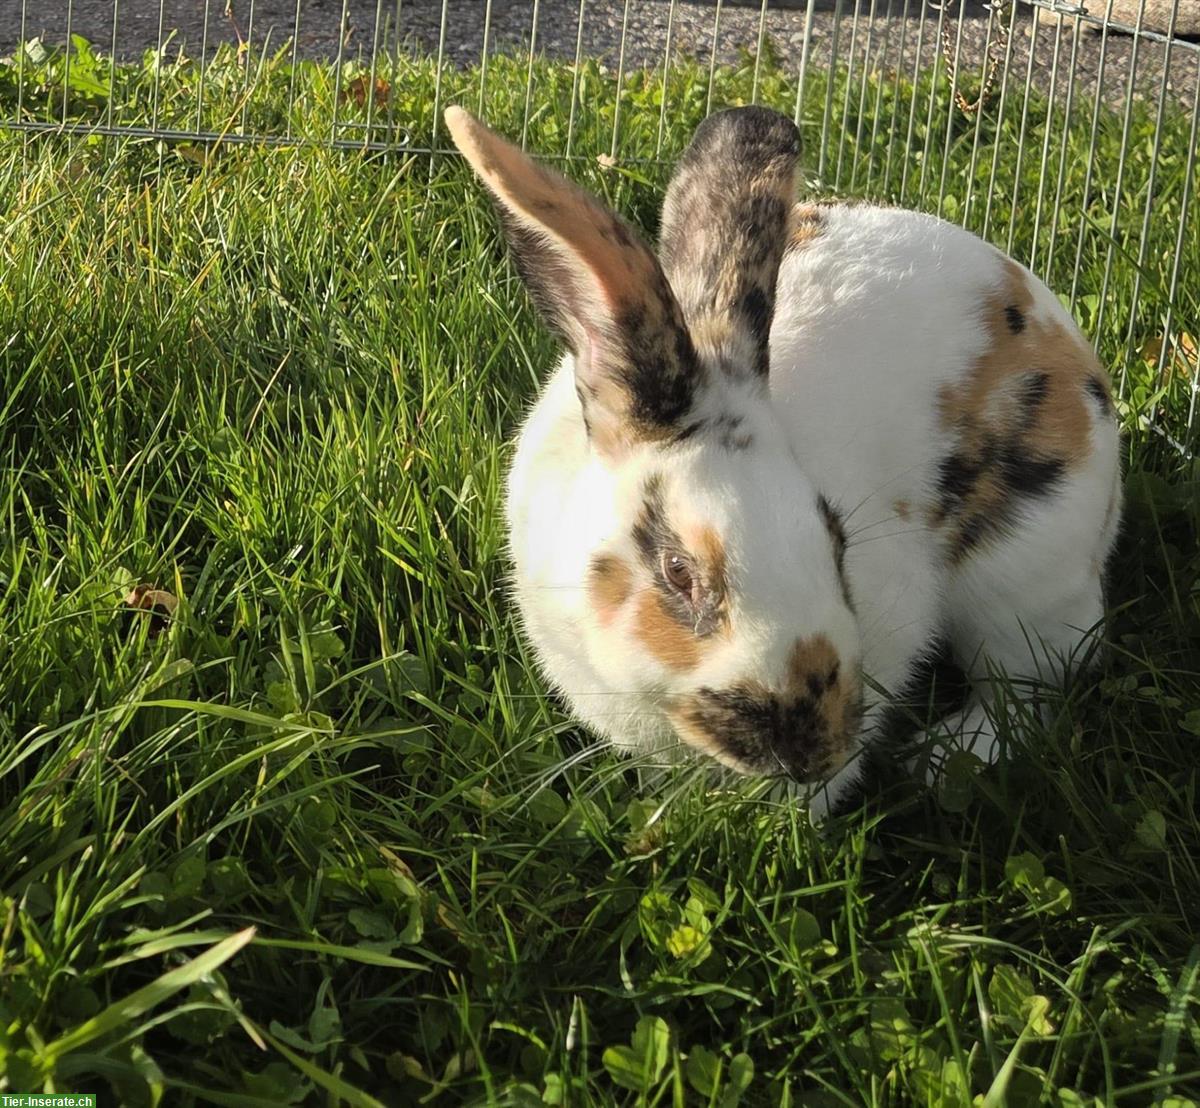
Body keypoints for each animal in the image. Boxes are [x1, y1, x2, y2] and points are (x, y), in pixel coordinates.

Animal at [444, 104, 1122, 819]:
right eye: (679, 572)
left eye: (837, 539)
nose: (814, 750)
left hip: (1026, 594)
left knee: (1029, 689)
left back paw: (942, 758)